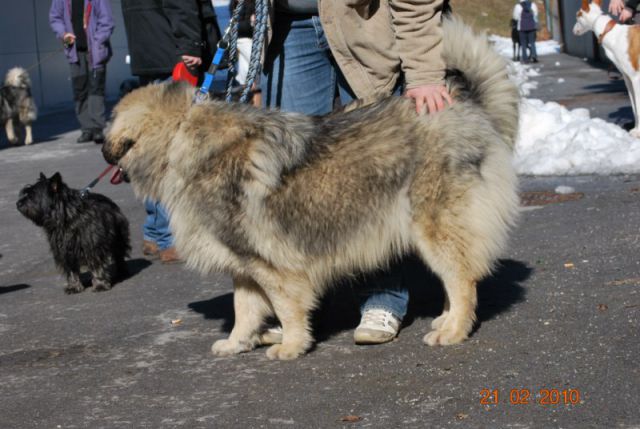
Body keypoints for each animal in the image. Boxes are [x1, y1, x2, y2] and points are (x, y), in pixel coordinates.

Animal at [101, 17, 520, 358]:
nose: (103, 152)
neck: (179, 137)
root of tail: (467, 105)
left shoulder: (274, 265)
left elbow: (286, 306)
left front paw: (290, 346)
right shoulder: (245, 263)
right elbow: (244, 309)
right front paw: (238, 343)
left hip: (435, 228)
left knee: (462, 279)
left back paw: (453, 330)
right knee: (456, 278)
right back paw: (444, 320)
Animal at [572, 0, 640, 136]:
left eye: (577, 16)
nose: (573, 30)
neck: (612, 34)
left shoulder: (636, 78)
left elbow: (639, 108)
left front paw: (638, 131)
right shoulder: (628, 79)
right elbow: (635, 108)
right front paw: (635, 129)